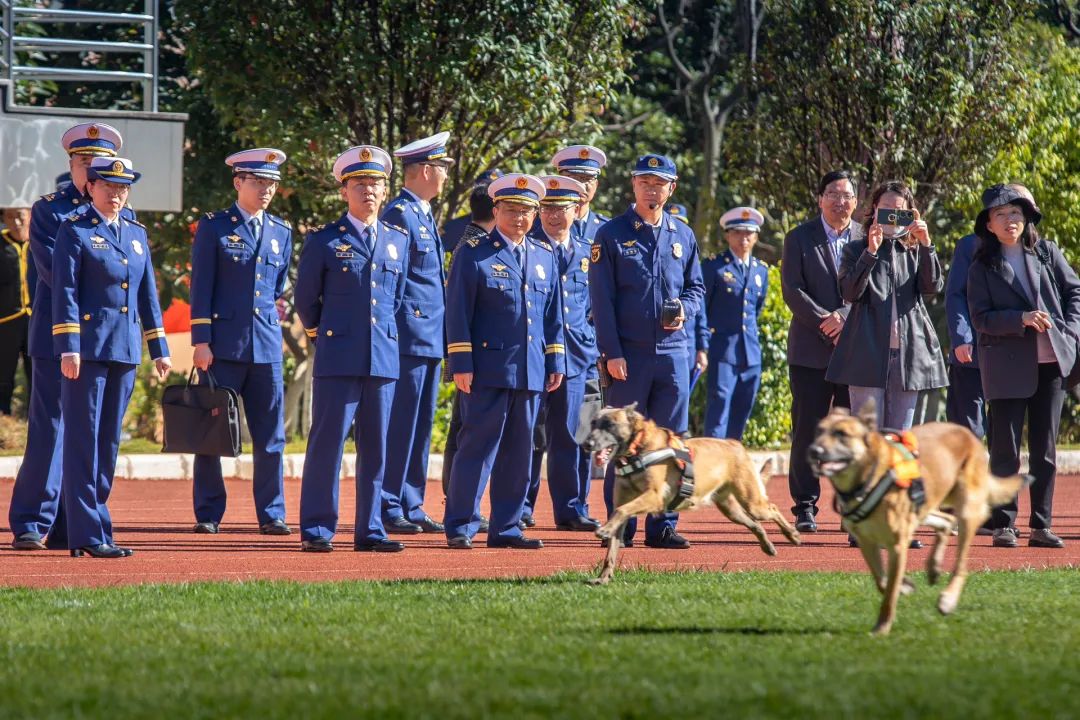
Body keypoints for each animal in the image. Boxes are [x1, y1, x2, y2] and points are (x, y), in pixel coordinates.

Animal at [583, 403, 803, 587]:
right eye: (593, 423)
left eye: (610, 425)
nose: (586, 444)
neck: (637, 448)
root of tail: (736, 444)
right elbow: (612, 549)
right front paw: (603, 577)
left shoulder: (654, 497)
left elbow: (620, 510)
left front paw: (604, 529)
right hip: (731, 509)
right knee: (755, 524)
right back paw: (767, 546)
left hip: (752, 502)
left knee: (772, 509)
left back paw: (792, 535)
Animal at [812, 403, 1028, 639]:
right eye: (819, 430)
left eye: (841, 434)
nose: (814, 451)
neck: (869, 478)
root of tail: (967, 433)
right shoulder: (866, 542)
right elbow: (882, 580)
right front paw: (904, 585)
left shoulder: (897, 546)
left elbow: (889, 593)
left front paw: (882, 626)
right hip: (924, 507)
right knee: (947, 520)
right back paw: (933, 567)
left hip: (967, 509)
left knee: (961, 564)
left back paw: (948, 599)